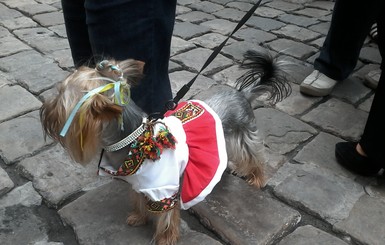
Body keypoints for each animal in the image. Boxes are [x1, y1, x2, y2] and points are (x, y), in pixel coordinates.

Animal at [40, 50, 290, 245]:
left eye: (61, 96)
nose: (44, 108)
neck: (135, 140)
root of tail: (242, 94)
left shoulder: (164, 189)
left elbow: (166, 217)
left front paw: (165, 239)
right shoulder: (140, 183)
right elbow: (139, 200)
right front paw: (138, 218)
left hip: (243, 135)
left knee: (254, 155)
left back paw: (256, 179)